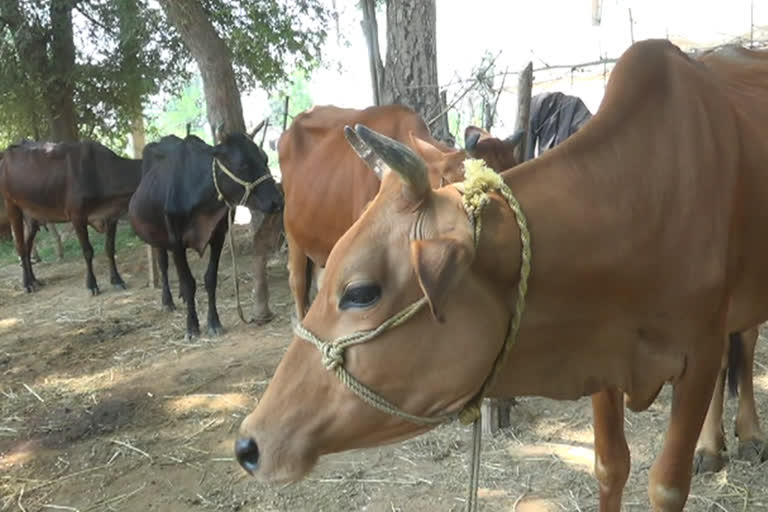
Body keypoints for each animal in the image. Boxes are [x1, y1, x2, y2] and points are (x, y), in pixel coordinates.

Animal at [0, 140, 142, 294]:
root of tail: (8, 151)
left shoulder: (111, 216)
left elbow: (110, 249)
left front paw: (117, 280)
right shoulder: (77, 216)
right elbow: (88, 251)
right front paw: (92, 285)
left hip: (32, 217)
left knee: (27, 246)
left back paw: (34, 280)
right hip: (11, 205)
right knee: (20, 246)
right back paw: (27, 284)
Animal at [129, 134, 284, 338]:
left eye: (265, 159)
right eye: (242, 165)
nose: (277, 201)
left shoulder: (218, 236)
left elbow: (210, 279)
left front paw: (214, 322)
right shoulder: (176, 242)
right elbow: (189, 283)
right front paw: (192, 327)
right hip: (158, 239)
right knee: (163, 266)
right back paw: (168, 301)